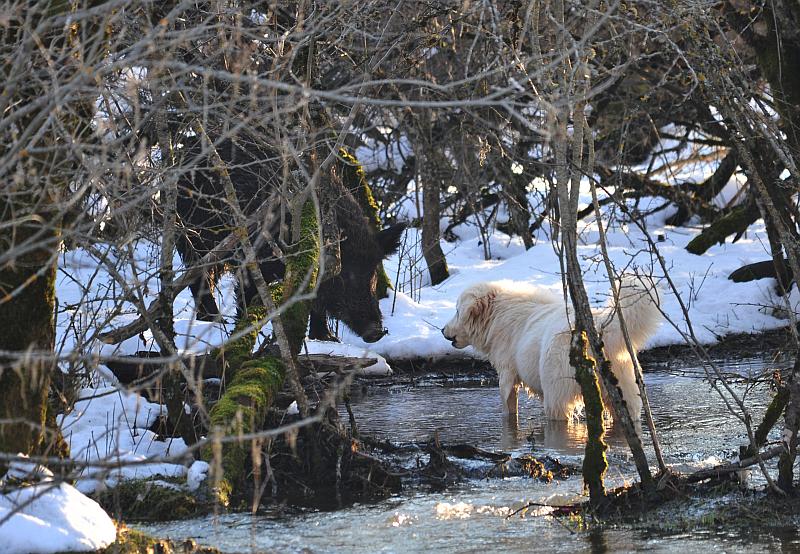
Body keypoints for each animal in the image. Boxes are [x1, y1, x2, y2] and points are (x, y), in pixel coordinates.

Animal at [440, 278, 660, 420]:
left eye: (457, 311)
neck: (496, 314)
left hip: (557, 391)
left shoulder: (507, 373)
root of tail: (599, 327)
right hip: (623, 391)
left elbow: (507, 405)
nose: (442, 330)